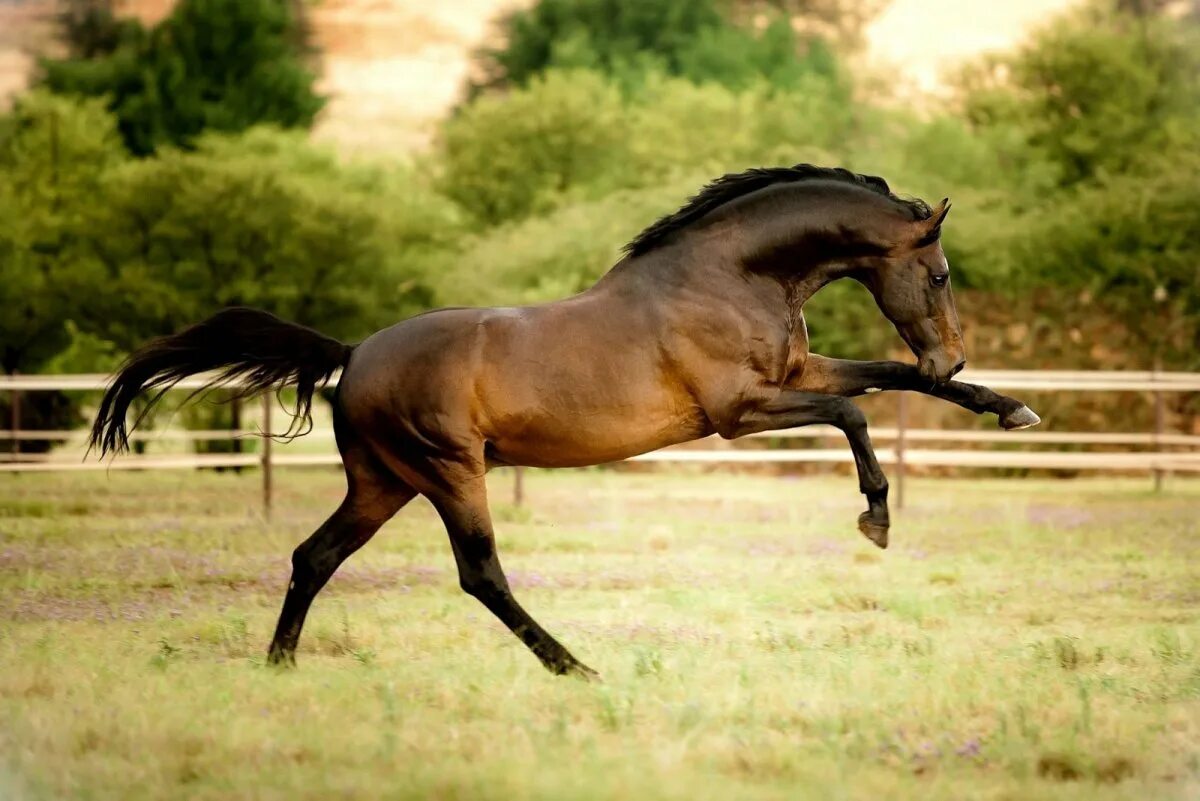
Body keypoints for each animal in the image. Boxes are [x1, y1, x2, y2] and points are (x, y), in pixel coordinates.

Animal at [88, 165, 1036, 681]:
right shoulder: (740, 410)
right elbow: (854, 410)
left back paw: (280, 666)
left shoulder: (792, 375)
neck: (730, 274)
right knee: (481, 575)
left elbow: (883, 381)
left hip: (384, 483)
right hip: (449, 472)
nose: (951, 355)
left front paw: (1009, 409)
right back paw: (577, 666)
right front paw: (877, 516)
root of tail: (353, 355)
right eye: (941, 274)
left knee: (313, 557)